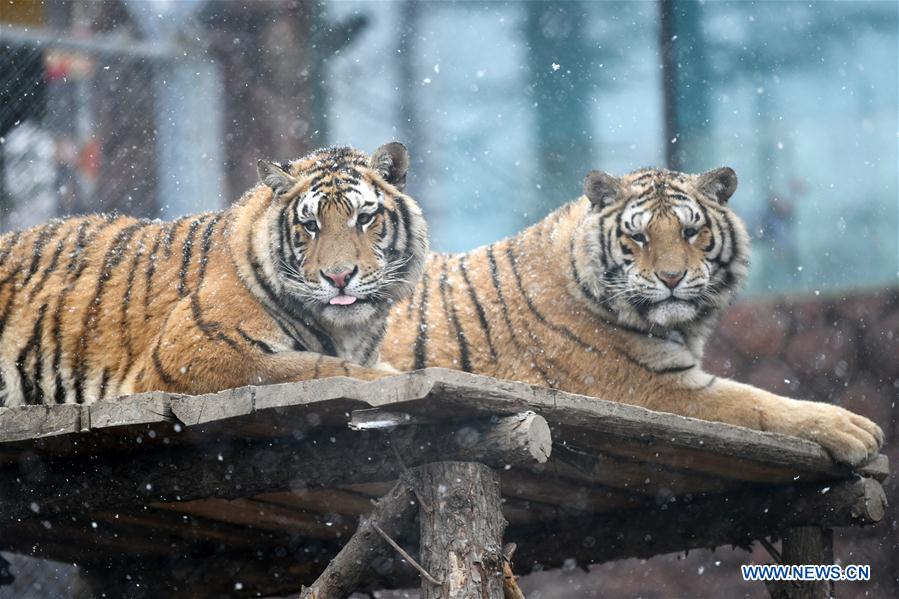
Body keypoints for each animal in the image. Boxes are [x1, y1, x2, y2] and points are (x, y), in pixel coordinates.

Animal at [0, 142, 427, 407]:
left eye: (364, 218)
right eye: (310, 226)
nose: (339, 277)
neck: (350, 329)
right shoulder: (195, 351)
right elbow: (325, 368)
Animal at [383, 166, 883, 466]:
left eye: (690, 231)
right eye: (639, 237)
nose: (671, 277)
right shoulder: (656, 386)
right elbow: (754, 401)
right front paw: (855, 429)